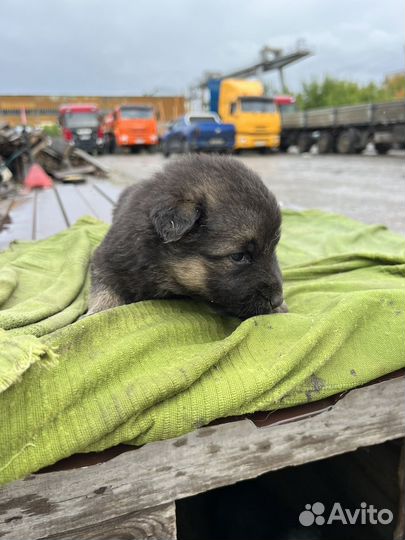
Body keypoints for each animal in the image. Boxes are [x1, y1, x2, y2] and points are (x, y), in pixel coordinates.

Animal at [88, 154, 286, 318]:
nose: (277, 299)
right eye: (238, 256)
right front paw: (99, 311)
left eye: (274, 248)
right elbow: (105, 291)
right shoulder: (106, 260)